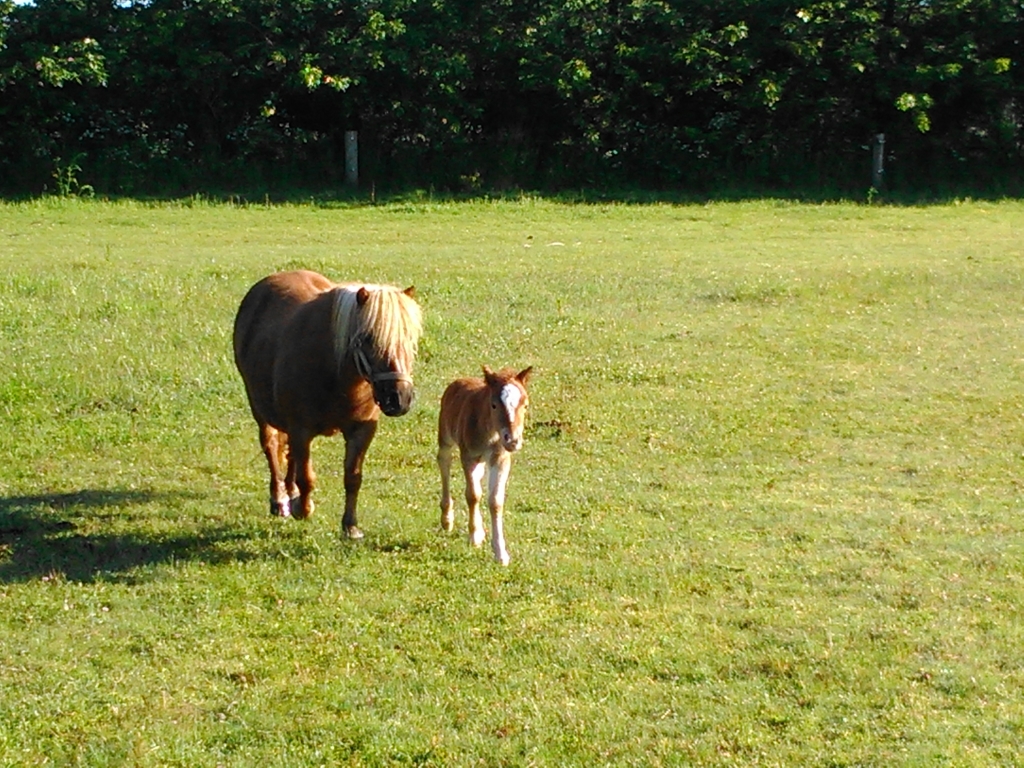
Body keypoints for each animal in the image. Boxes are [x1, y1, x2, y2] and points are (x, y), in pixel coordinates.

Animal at [234, 270, 421, 540]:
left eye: (410, 338)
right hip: (260, 410)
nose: (399, 398)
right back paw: (280, 499)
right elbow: (306, 477)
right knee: (271, 447)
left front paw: (350, 526)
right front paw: (303, 508)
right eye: (367, 338)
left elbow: (352, 477)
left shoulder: (361, 430)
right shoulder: (301, 430)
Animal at [436, 366, 532, 565]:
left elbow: (495, 501)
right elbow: (473, 495)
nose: (512, 440)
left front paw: (501, 553)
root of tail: (459, 381)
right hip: (445, 436)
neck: (491, 433)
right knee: (444, 462)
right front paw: (474, 537)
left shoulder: (500, 459)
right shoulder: (468, 456)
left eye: (525, 405)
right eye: (494, 405)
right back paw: (447, 519)